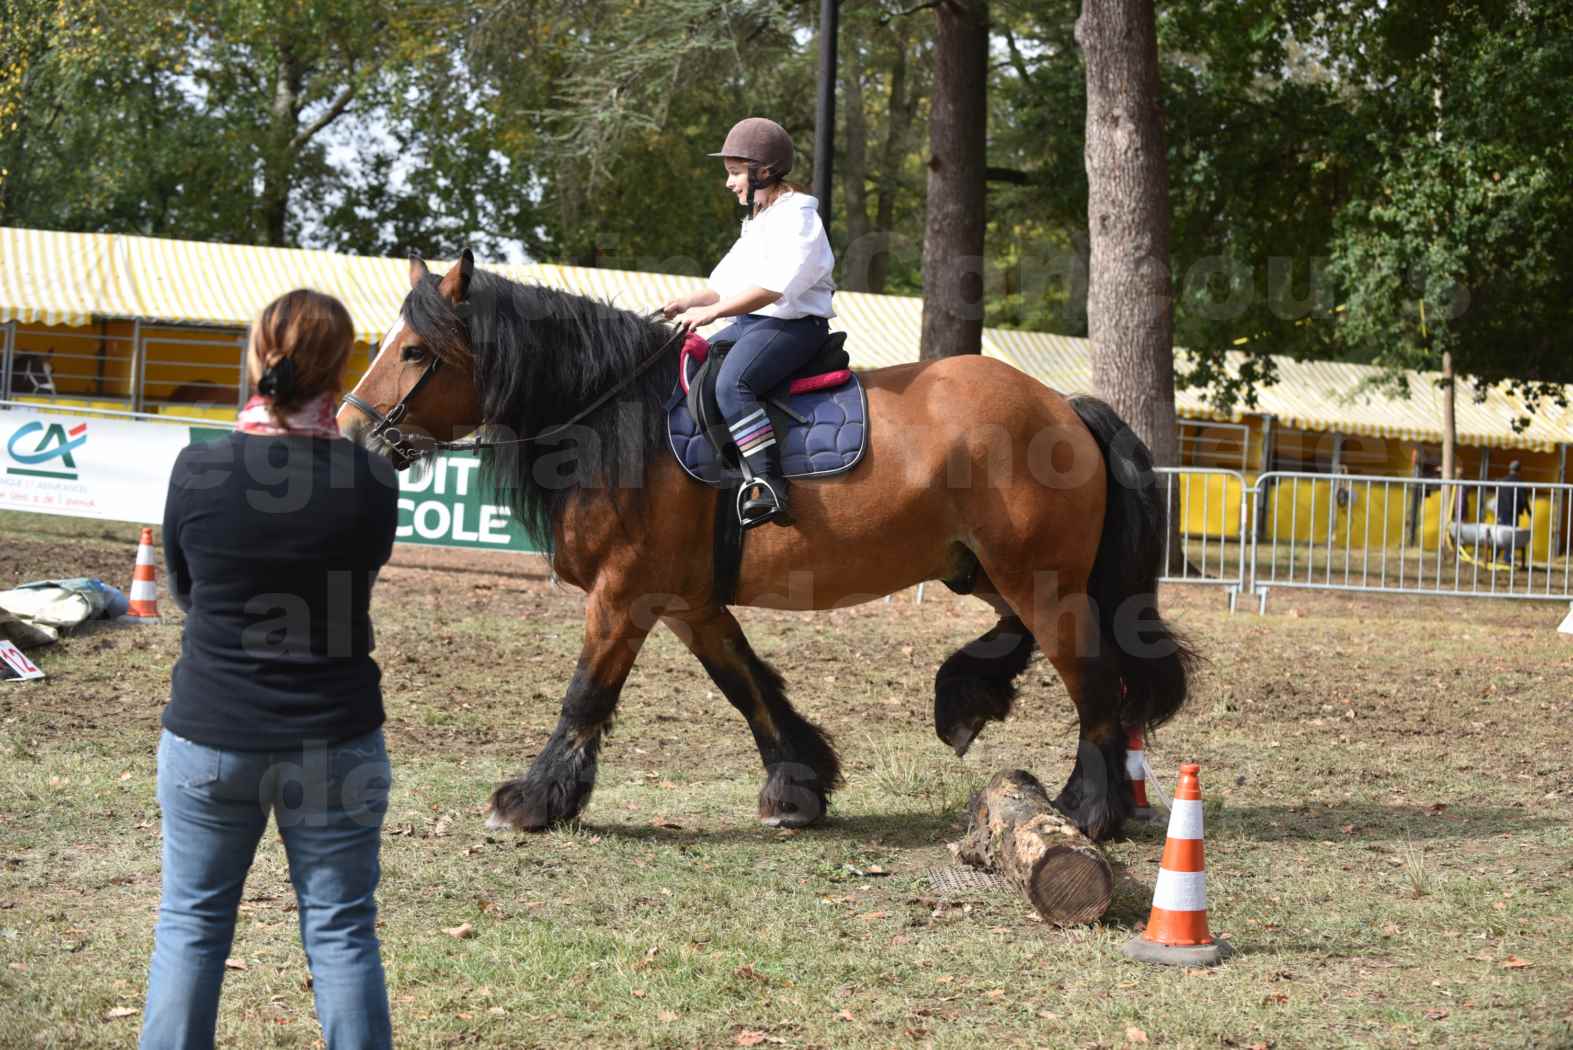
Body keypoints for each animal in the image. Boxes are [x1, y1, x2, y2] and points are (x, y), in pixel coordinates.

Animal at [335, 254, 1189, 842]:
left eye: (414, 352)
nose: (350, 428)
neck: (617, 416)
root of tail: (1063, 406)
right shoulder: (689, 603)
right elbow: (746, 685)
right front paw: (799, 783)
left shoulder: (625, 593)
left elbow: (586, 695)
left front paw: (534, 799)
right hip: (985, 568)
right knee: (1028, 638)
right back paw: (966, 696)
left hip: (1036, 575)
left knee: (1091, 681)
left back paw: (1089, 808)